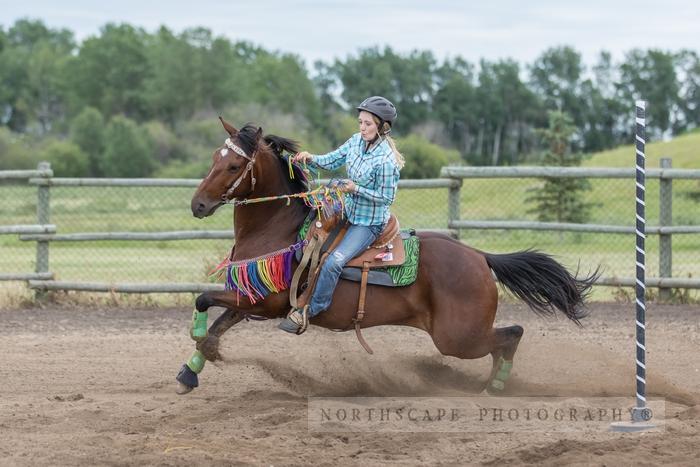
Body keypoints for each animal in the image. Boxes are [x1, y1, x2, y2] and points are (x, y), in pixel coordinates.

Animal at [175, 119, 596, 394]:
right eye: (214, 157)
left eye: (233, 165)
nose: (198, 205)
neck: (280, 228)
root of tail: (479, 256)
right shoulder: (249, 297)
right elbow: (217, 323)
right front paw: (191, 369)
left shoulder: (268, 302)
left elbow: (204, 301)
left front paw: (197, 351)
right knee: (507, 337)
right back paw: (492, 385)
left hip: (458, 337)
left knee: (512, 334)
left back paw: (496, 384)